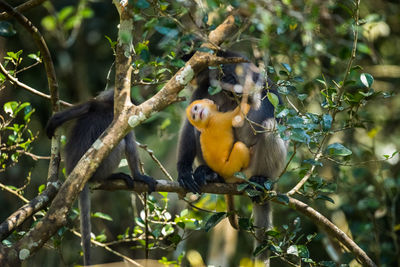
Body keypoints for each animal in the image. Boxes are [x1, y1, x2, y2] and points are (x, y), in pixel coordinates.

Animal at [46, 89, 157, 266]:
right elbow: (130, 146)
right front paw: (140, 177)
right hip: (101, 168)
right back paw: (112, 176)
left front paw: (53, 122)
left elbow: (79, 109)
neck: (108, 105)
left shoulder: (94, 104)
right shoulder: (124, 122)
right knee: (121, 144)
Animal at [178, 50, 288, 266]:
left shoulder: (262, 85)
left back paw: (262, 181)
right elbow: (189, 123)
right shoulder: (203, 91)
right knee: (197, 130)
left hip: (251, 169)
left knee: (270, 124)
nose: (231, 90)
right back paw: (210, 174)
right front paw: (184, 170)